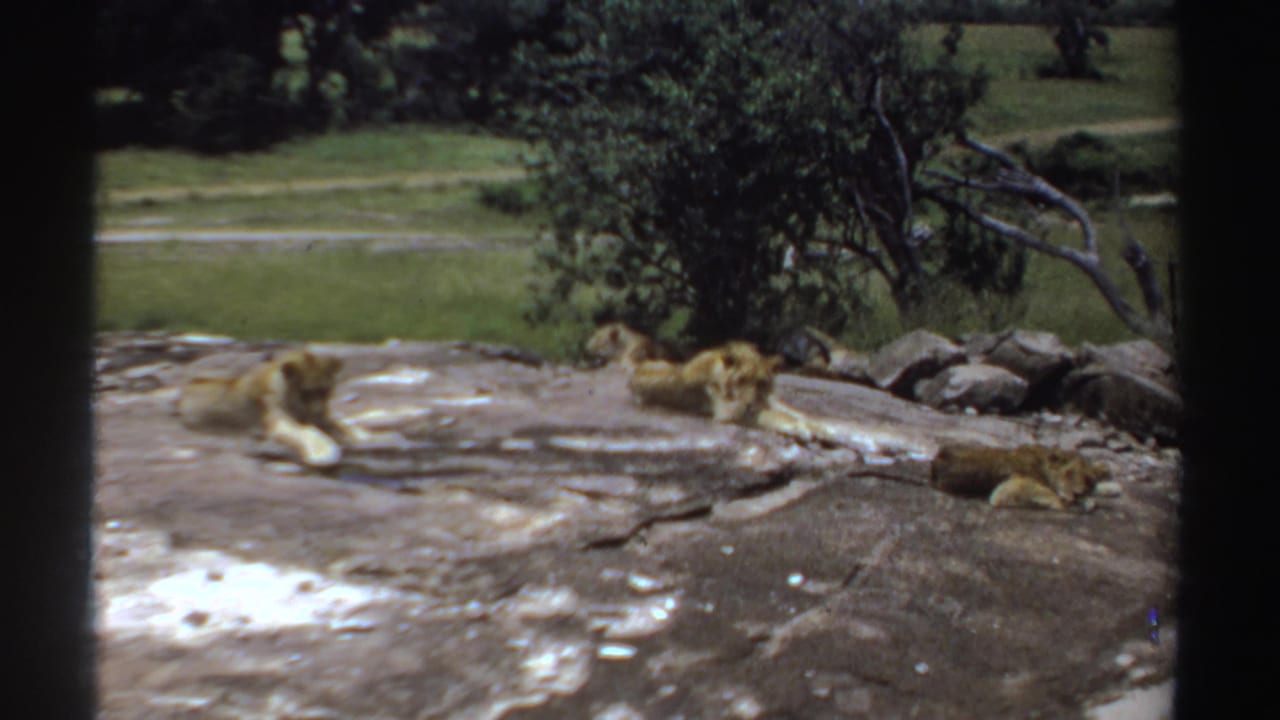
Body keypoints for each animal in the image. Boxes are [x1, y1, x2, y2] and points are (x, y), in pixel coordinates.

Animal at [176, 348, 388, 468]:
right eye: (306, 392)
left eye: (325, 390)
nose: (318, 413)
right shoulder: (281, 421)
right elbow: (308, 431)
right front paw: (323, 454)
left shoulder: (323, 415)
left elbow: (345, 424)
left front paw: (372, 437)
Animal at [930, 443, 1109, 510]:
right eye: (1069, 473)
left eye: (1088, 479)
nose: (1078, 493)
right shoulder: (1013, 485)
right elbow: (1047, 493)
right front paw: (1061, 503)